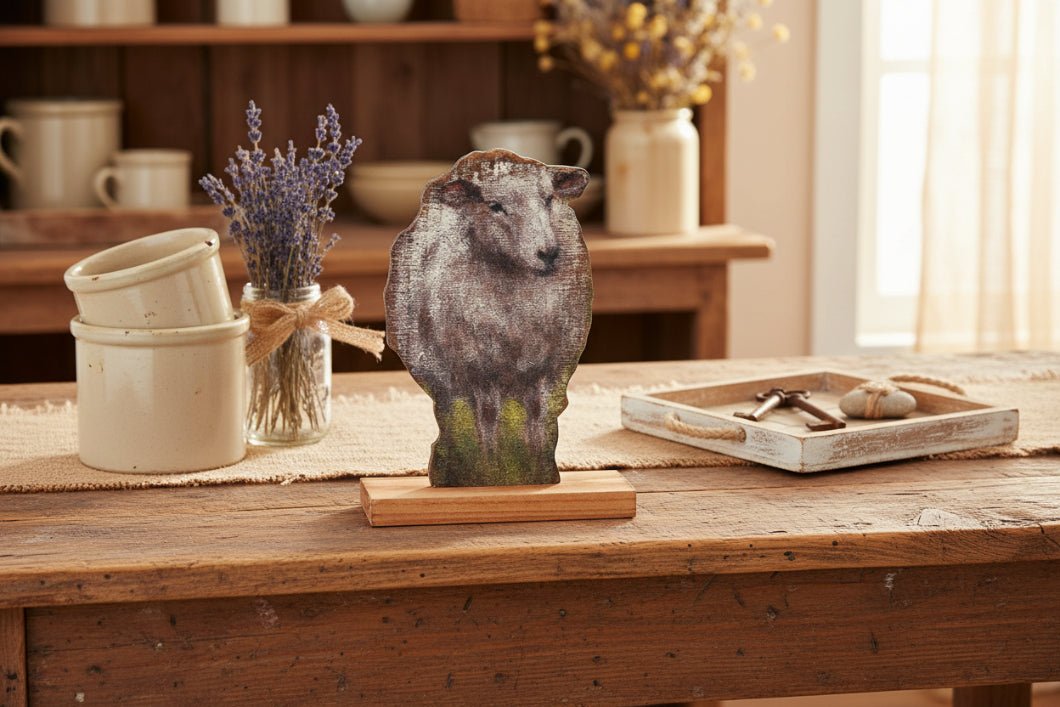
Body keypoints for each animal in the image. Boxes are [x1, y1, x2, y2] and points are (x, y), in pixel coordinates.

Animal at [385, 149, 592, 487]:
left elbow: (540, 420)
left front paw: (537, 466)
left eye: (548, 198)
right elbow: (488, 420)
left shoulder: (548, 369)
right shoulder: (479, 370)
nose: (548, 253)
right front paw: (491, 467)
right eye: (495, 206)